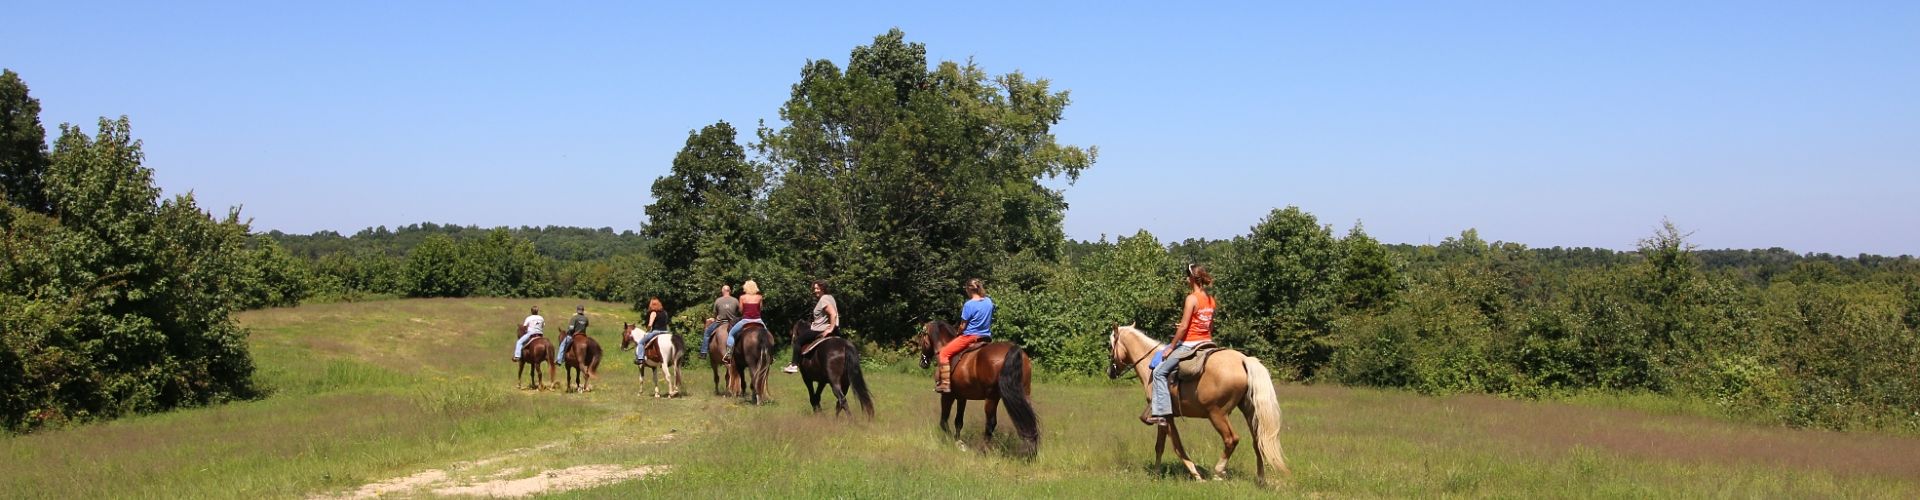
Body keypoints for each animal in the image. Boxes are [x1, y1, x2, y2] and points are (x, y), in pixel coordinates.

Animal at [913, 321, 1036, 457]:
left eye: (922, 337)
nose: (922, 362)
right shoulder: (962, 397)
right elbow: (958, 421)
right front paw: (959, 442)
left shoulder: (947, 396)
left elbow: (943, 422)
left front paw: (952, 442)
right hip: (1024, 393)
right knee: (1029, 420)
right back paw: (1031, 452)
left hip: (992, 398)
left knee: (991, 423)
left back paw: (983, 450)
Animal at [1113, 326, 1290, 482]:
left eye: (1111, 344)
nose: (1110, 372)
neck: (1150, 367)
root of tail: (1243, 360)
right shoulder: (1164, 418)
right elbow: (1160, 447)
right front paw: (1156, 475)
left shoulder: (1167, 417)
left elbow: (1177, 446)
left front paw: (1196, 475)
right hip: (1249, 412)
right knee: (1258, 441)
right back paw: (1260, 479)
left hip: (1217, 414)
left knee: (1231, 439)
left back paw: (1218, 472)